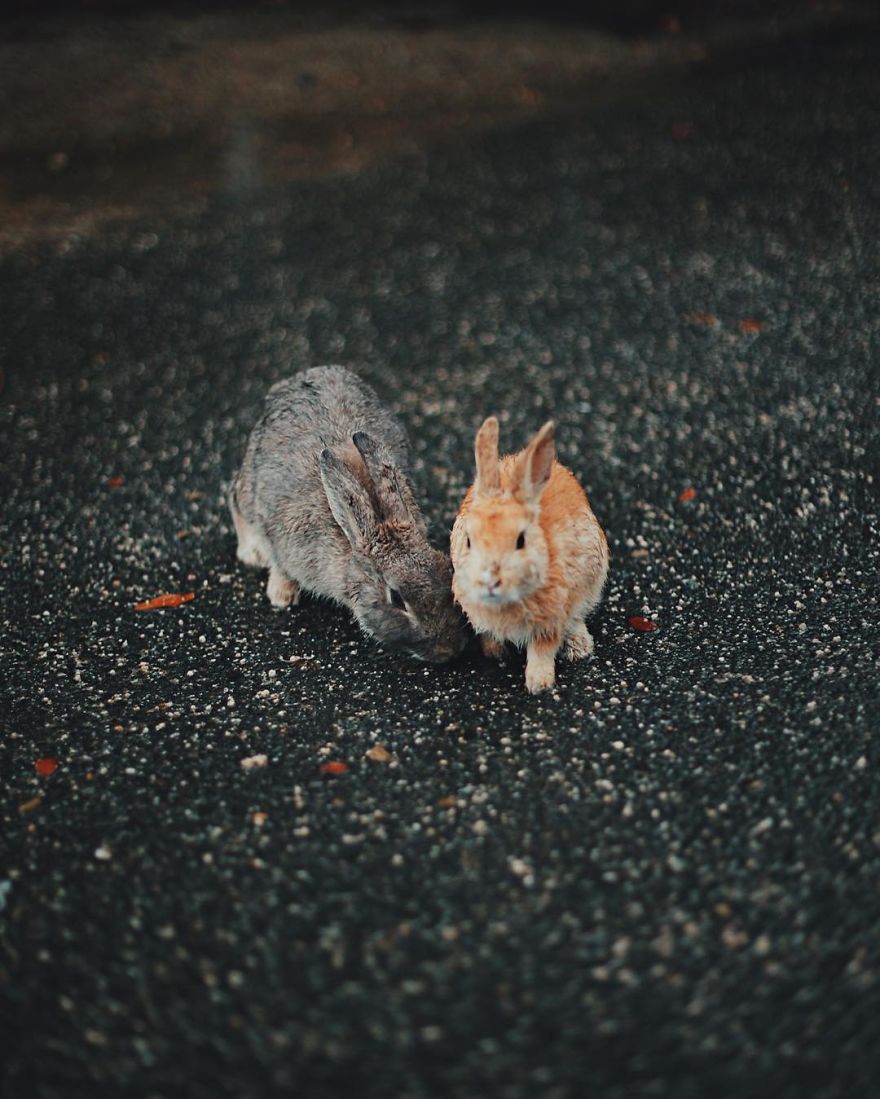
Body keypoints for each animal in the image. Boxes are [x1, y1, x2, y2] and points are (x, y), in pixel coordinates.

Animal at [229, 366, 469, 663]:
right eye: (396, 598)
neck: (370, 526)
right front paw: (281, 595)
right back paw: (252, 553)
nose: (451, 648)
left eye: (447, 568)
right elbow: (279, 564)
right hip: (249, 483)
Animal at [450, 416, 608, 694]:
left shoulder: (551, 619)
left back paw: (579, 647)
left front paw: (539, 684)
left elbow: (542, 650)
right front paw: (495, 652)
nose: (489, 580)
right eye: (468, 540)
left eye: (520, 541)